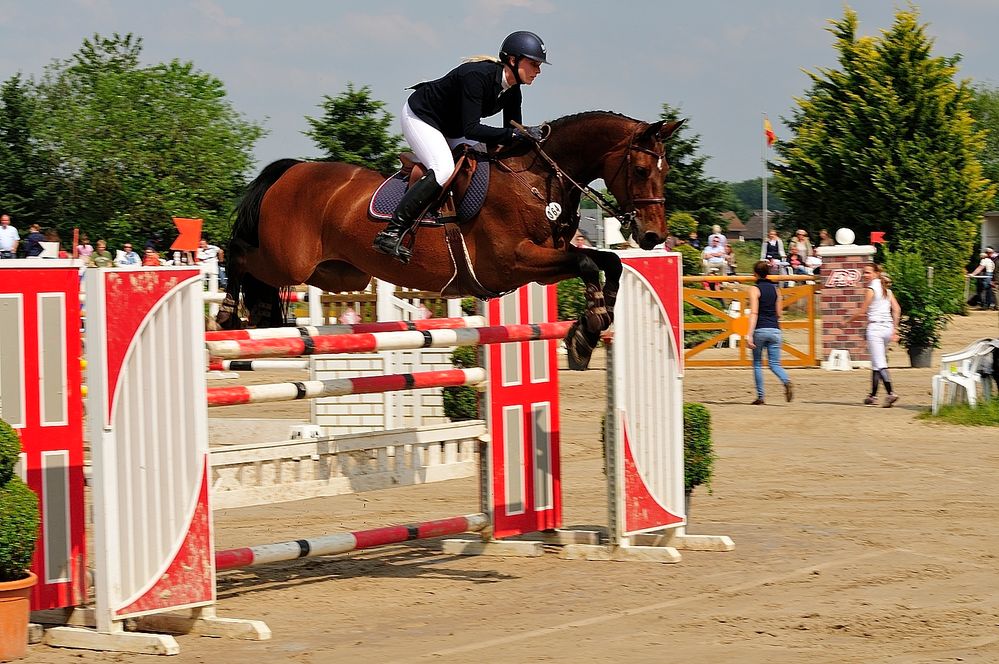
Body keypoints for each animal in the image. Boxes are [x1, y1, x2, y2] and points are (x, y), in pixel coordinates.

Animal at [217, 110, 688, 368]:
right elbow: (591, 262)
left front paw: (591, 327)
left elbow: (611, 262)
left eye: (665, 170)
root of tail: (293, 169)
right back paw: (227, 316)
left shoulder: (544, 263)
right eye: (641, 170)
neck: (538, 180)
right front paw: (587, 327)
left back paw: (261, 319)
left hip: (338, 274)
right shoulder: (515, 261)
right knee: (236, 254)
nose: (652, 236)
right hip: (287, 260)